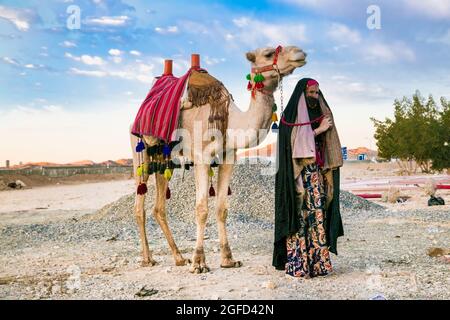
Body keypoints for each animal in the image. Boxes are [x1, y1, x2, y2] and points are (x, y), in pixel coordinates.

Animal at [128, 44, 308, 272]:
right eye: (268, 54)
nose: (300, 53)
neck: (231, 121)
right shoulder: (201, 157)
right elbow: (201, 208)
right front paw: (198, 262)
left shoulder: (228, 157)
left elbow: (222, 209)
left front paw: (228, 259)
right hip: (139, 150)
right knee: (139, 205)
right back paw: (147, 258)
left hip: (163, 159)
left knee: (159, 207)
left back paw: (179, 258)